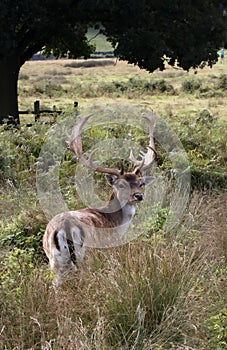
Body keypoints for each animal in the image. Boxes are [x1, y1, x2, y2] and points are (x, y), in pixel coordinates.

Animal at [42, 113, 156, 288]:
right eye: (121, 185)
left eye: (140, 183)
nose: (138, 196)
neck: (115, 222)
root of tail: (64, 227)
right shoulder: (110, 247)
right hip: (85, 255)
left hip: (54, 260)